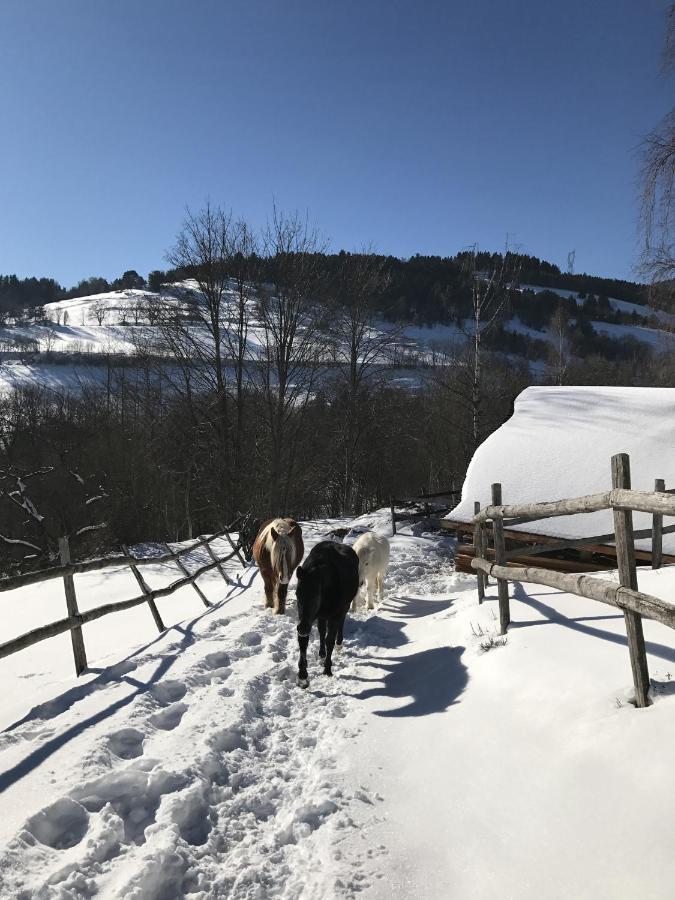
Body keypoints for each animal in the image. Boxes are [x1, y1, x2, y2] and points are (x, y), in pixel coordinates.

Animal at [294, 540, 360, 688]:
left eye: (315, 595)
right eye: (297, 594)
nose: (302, 628)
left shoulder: (333, 615)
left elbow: (330, 640)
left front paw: (327, 669)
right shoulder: (307, 619)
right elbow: (303, 642)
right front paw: (302, 676)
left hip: (343, 607)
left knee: (341, 623)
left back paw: (339, 643)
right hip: (321, 616)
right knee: (321, 630)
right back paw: (321, 653)